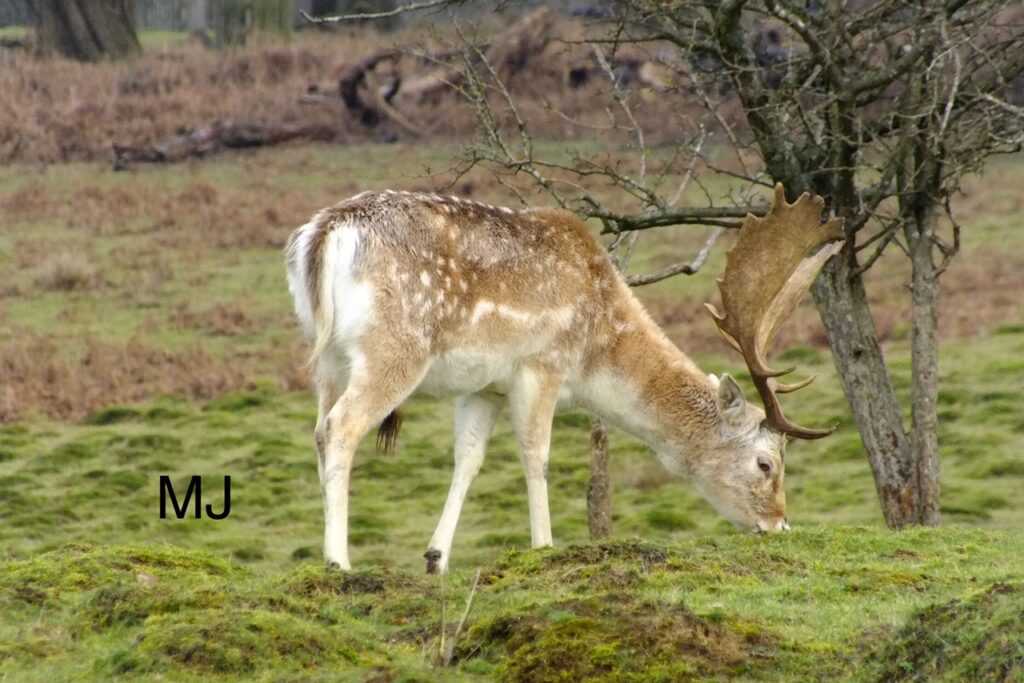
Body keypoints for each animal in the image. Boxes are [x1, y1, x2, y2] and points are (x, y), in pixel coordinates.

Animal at [285, 183, 843, 573]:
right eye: (766, 463)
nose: (779, 524)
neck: (594, 357)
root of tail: (325, 234)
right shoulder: (543, 362)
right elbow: (537, 455)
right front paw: (544, 545)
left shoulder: (484, 387)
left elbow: (468, 460)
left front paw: (436, 558)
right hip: (395, 347)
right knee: (342, 427)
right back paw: (338, 561)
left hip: (327, 356)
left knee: (318, 429)